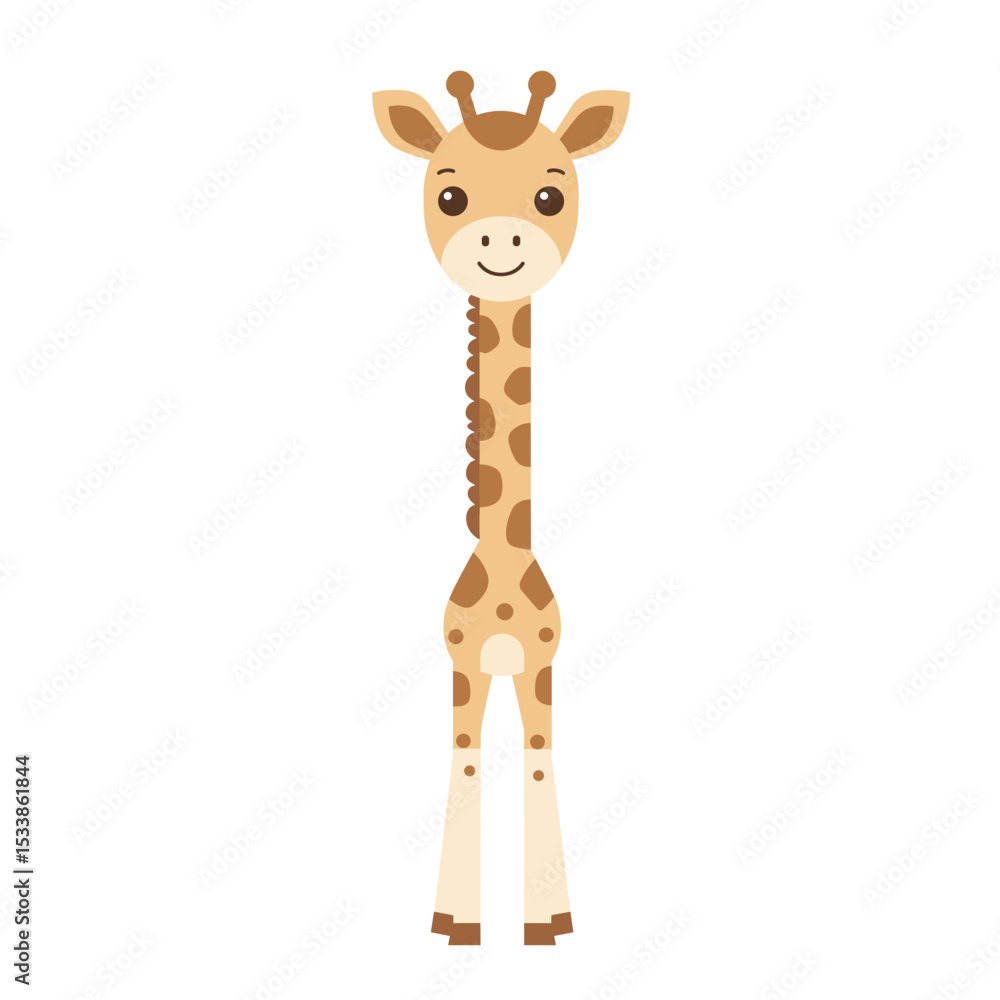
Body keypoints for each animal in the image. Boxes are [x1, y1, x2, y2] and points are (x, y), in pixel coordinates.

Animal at [373, 71, 628, 946]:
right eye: (448, 194)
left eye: (552, 194)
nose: (501, 243)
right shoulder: (462, 662)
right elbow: (469, 754)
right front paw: (455, 918)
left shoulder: (543, 660)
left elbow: (541, 756)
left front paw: (549, 919)